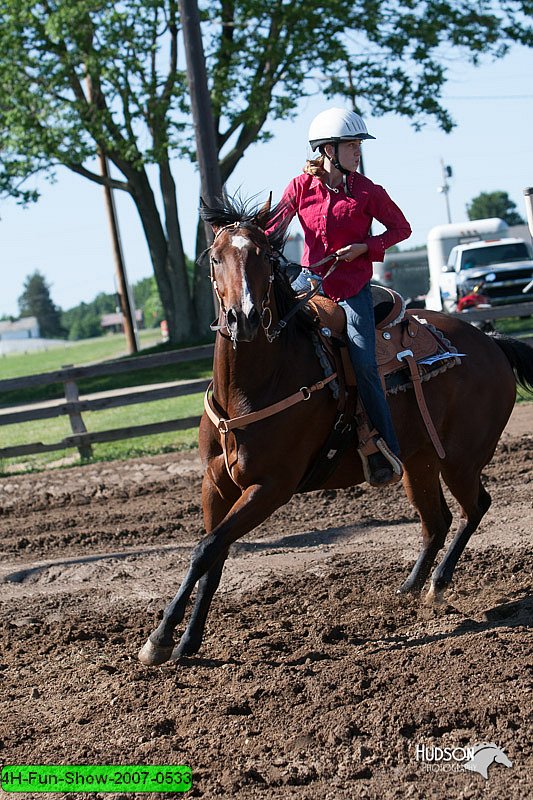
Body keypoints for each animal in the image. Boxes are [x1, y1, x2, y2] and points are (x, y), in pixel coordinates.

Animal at [139, 197, 532, 664]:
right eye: (215, 258)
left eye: (263, 256)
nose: (243, 318)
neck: (253, 387)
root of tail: (492, 342)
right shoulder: (215, 483)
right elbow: (212, 555)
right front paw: (185, 640)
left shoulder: (271, 487)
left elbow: (205, 549)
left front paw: (160, 638)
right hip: (418, 462)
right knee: (437, 521)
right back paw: (409, 588)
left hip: (461, 460)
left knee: (476, 507)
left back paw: (437, 584)